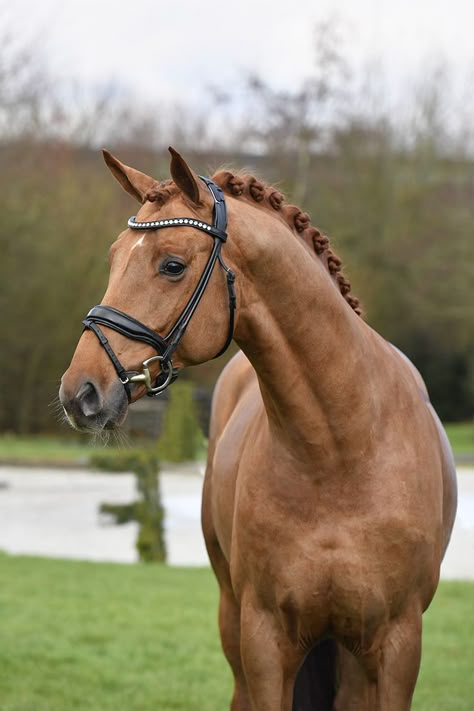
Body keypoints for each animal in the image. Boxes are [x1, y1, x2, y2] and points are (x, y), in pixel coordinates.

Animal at [59, 147, 456, 708]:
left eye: (172, 265)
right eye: (115, 257)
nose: (81, 392)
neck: (340, 452)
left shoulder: (397, 647)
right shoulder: (265, 640)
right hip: (233, 618)